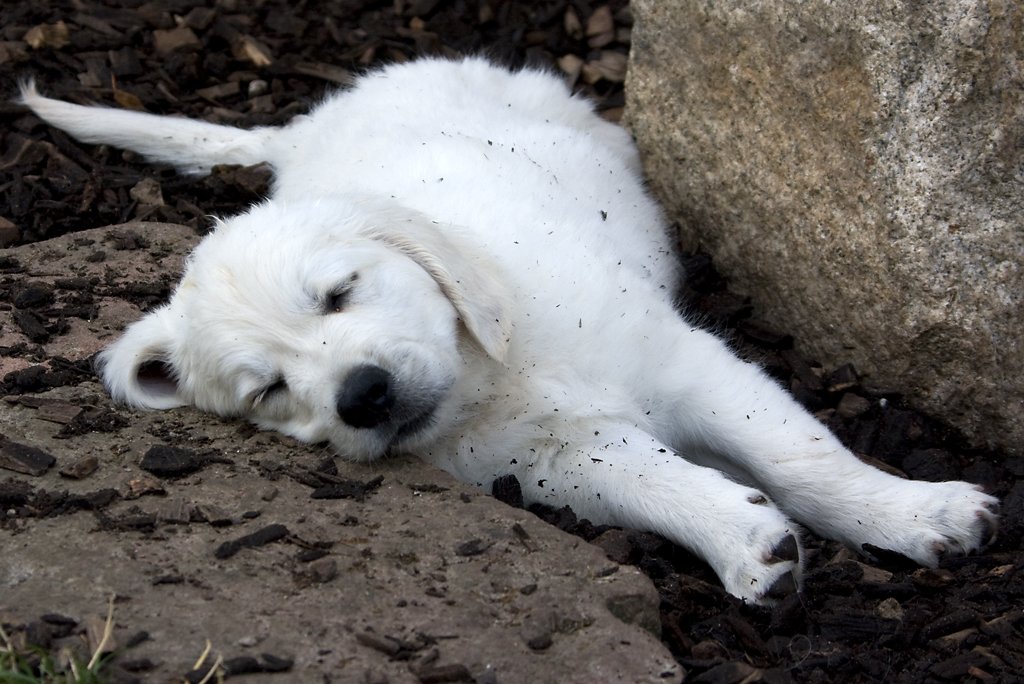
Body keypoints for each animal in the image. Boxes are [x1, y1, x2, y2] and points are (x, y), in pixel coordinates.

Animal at [19, 60, 999, 602]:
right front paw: (739, 539)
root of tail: (300, 130)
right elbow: (652, 483)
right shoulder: (557, 459)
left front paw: (918, 513)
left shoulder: (688, 363)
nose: (363, 396)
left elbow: (803, 458)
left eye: (339, 294)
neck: (497, 368)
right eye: (268, 390)